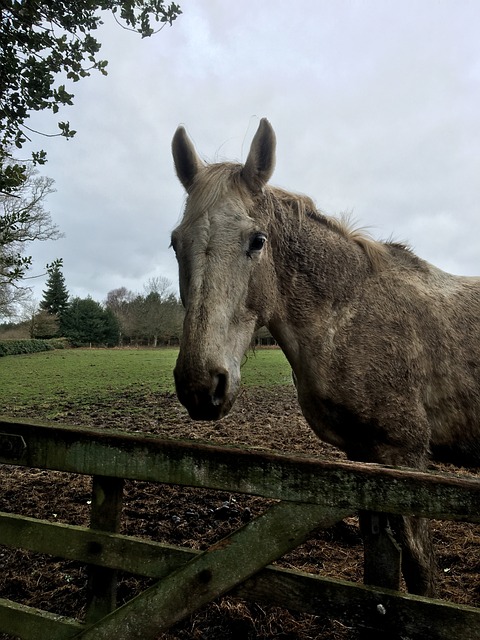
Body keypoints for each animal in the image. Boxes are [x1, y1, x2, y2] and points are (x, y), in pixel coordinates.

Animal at [170, 117, 480, 596]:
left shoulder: (408, 458)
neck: (349, 317)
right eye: (175, 243)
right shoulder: (364, 461)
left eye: (256, 241)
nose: (201, 384)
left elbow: (422, 578)